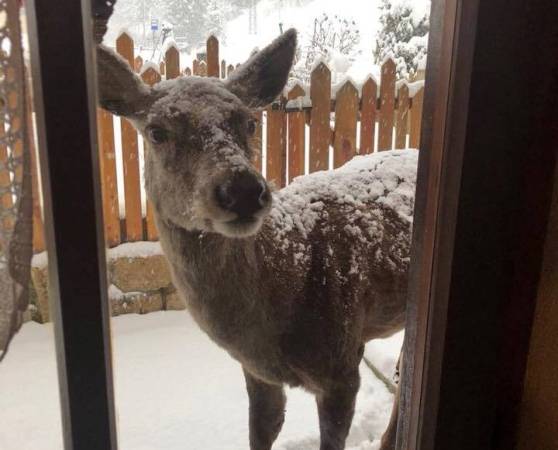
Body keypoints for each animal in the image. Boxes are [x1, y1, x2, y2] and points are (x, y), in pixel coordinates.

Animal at [97, 29, 420, 450]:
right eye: (156, 131)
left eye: (249, 123)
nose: (243, 190)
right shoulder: (258, 373)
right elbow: (260, 432)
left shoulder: (342, 365)